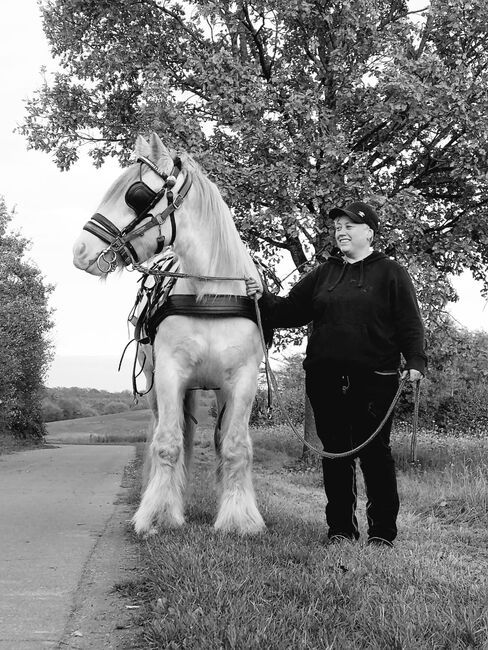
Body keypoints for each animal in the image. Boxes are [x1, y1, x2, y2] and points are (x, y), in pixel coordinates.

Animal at [71, 133, 266, 536]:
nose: (80, 251)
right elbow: (168, 444)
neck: (210, 294)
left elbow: (235, 446)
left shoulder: (243, 380)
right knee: (172, 434)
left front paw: (239, 518)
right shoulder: (170, 375)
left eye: (136, 194)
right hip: (157, 383)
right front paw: (159, 514)